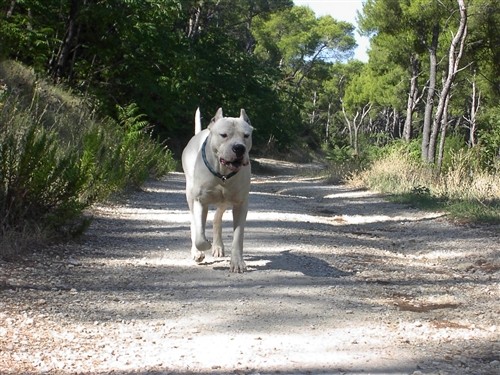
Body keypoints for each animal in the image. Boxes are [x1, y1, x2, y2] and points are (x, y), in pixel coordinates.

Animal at [182, 108, 254, 274]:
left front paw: (237, 262)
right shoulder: (200, 201)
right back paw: (198, 251)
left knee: (217, 218)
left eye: (246, 135)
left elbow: (238, 236)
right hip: (191, 195)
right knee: (194, 223)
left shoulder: (241, 204)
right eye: (224, 135)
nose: (239, 148)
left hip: (225, 201)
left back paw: (218, 246)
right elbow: (199, 235)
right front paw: (203, 247)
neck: (223, 174)